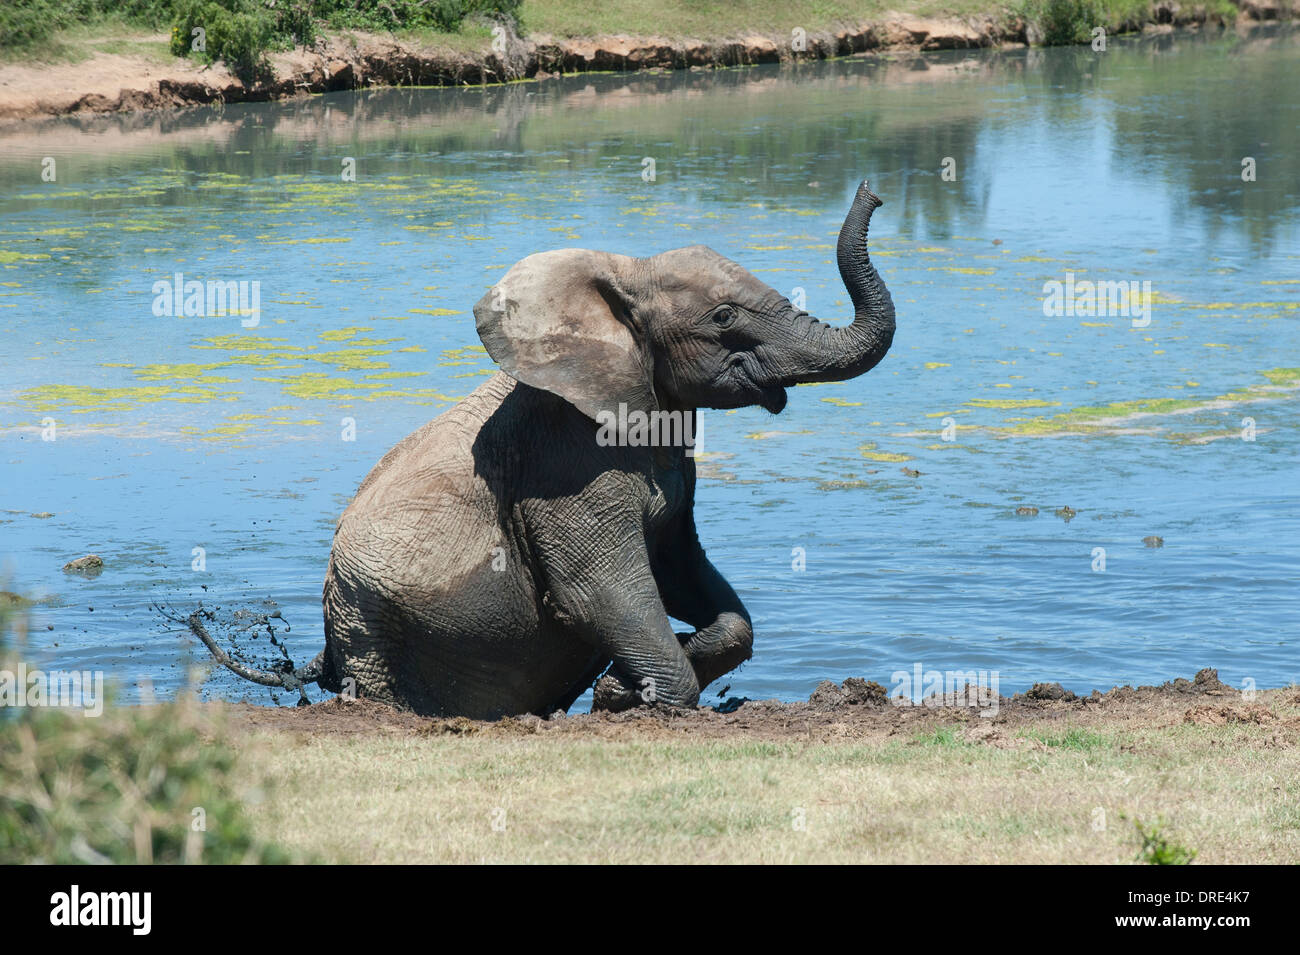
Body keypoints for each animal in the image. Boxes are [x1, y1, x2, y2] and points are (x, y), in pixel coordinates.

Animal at [200, 179, 894, 722]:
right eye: (723, 317)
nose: (873, 191)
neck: (623, 280)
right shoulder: (565, 464)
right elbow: (601, 590)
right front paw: (631, 699)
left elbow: (682, 571)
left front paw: (620, 688)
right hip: (368, 624)